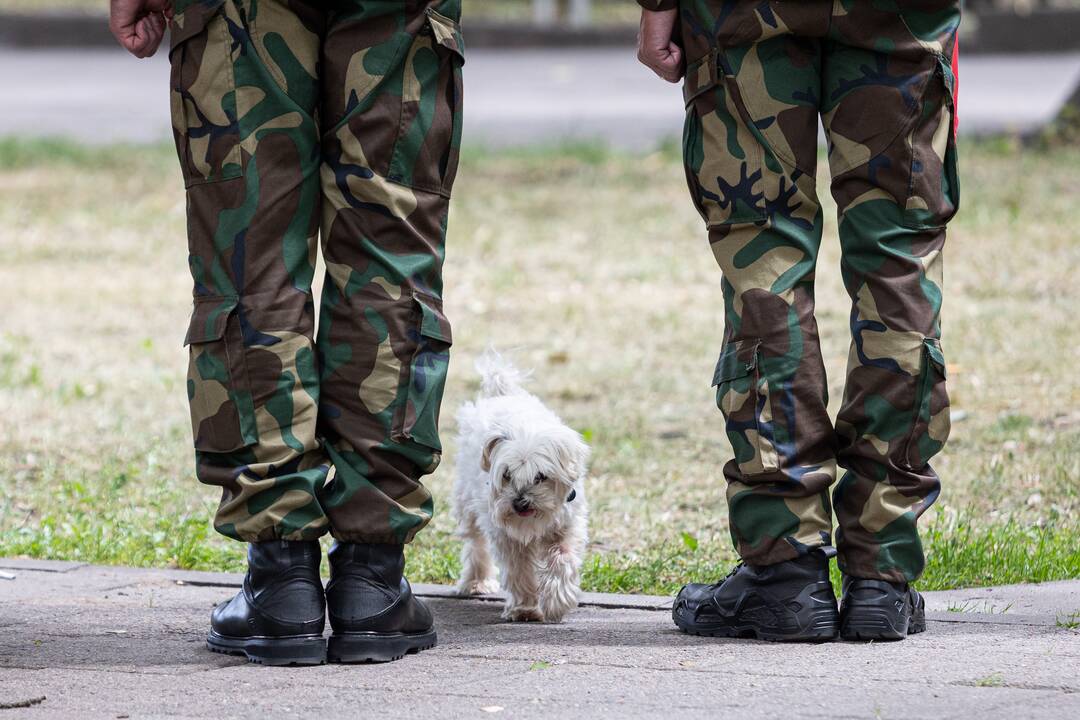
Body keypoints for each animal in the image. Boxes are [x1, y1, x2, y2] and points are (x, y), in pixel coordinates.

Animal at [453, 351, 596, 621]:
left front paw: (557, 600)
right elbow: (518, 571)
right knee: (476, 544)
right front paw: (525, 609)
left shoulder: (568, 525)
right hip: (467, 504)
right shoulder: (508, 538)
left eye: (540, 476)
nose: (519, 503)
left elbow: (563, 557)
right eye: (507, 475)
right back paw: (476, 582)